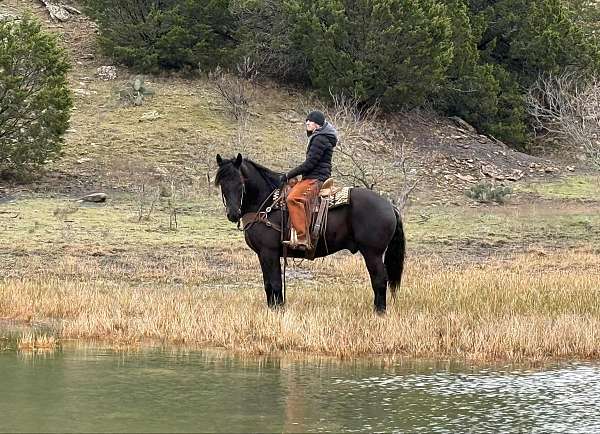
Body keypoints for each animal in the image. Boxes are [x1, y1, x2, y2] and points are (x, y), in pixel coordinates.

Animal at [213, 153, 406, 312]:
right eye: (222, 184)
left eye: (240, 182)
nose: (233, 214)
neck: (267, 203)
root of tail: (390, 205)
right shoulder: (263, 254)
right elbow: (268, 284)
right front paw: (273, 308)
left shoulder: (269, 252)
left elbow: (275, 283)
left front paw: (278, 311)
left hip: (372, 253)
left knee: (379, 280)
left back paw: (379, 312)